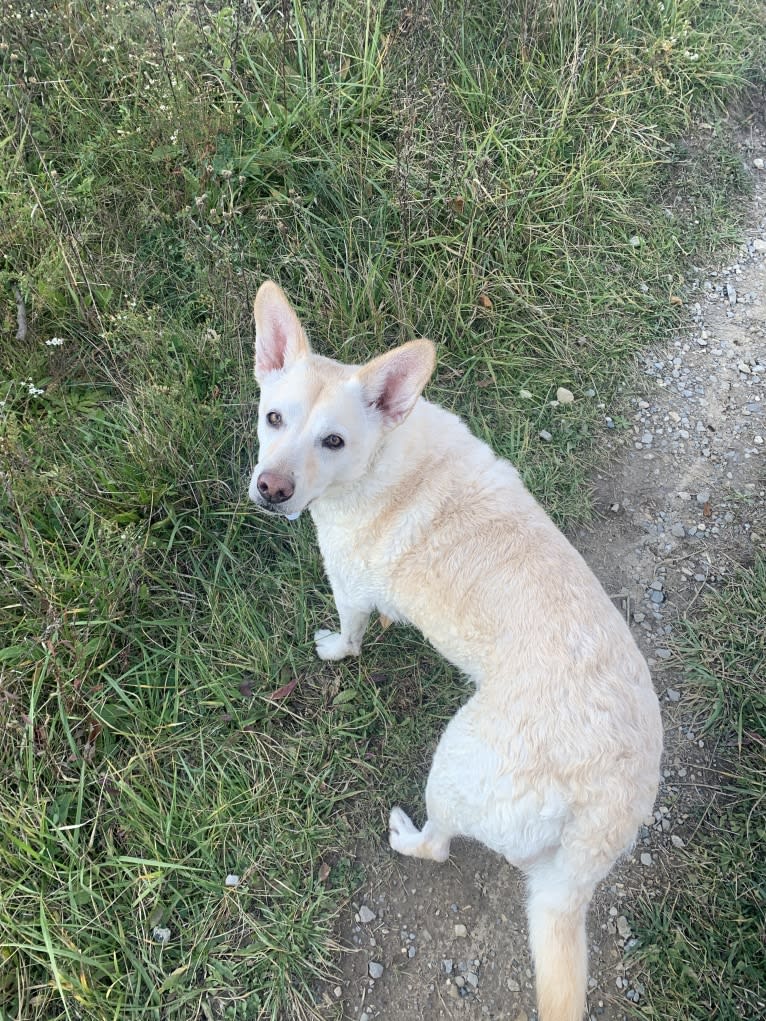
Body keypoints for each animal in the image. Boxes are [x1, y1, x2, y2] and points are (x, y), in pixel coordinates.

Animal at [249, 279, 661, 1021]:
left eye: (333, 440)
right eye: (273, 417)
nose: (272, 490)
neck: (384, 450)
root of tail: (606, 805)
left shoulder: (347, 586)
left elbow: (349, 636)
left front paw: (335, 650)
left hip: (453, 765)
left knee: (439, 845)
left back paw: (406, 833)